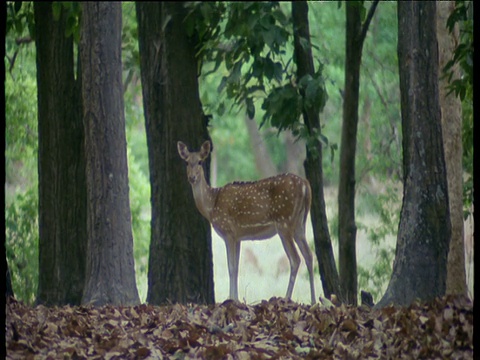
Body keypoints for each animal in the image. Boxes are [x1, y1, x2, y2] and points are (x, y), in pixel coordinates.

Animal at [178, 141, 316, 304]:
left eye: (200, 161)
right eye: (187, 162)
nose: (192, 177)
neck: (211, 205)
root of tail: (305, 185)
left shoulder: (228, 231)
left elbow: (231, 267)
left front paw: (230, 299)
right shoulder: (238, 237)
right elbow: (237, 267)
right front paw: (236, 299)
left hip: (285, 223)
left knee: (295, 259)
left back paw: (286, 297)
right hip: (300, 224)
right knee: (309, 255)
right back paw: (314, 300)